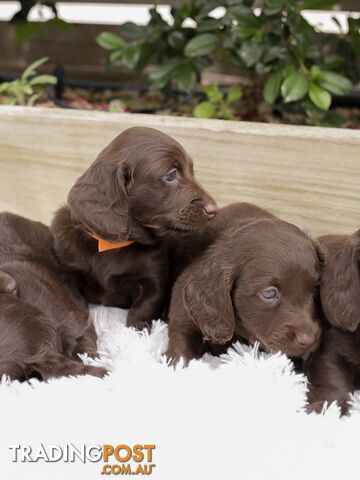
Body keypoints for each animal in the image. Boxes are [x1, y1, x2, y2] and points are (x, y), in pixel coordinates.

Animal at [52, 126, 218, 330]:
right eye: (170, 175)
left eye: (192, 172)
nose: (214, 209)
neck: (112, 245)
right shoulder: (68, 276)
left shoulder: (153, 284)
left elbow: (141, 312)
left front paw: (136, 333)